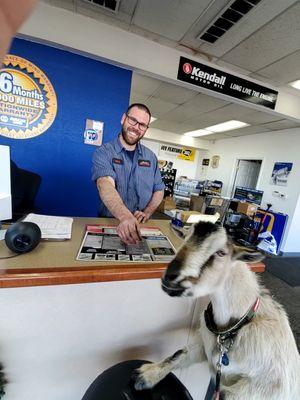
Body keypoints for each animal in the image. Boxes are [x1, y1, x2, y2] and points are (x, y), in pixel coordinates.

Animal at [134, 222, 300, 400]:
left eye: (221, 253)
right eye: (185, 237)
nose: (170, 277)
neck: (239, 324)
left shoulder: (261, 389)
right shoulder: (204, 345)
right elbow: (179, 354)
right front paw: (146, 375)